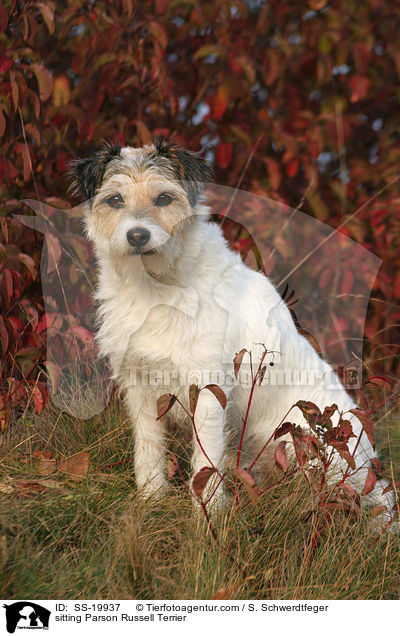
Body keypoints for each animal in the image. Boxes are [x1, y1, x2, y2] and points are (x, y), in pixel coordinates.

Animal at [70, 139, 396, 520]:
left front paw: (207, 517)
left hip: (305, 441)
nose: (137, 236)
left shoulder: (208, 389)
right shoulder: (139, 384)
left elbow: (206, 460)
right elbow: (149, 449)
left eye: (164, 198)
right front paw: (150, 500)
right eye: (115, 200)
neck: (157, 286)